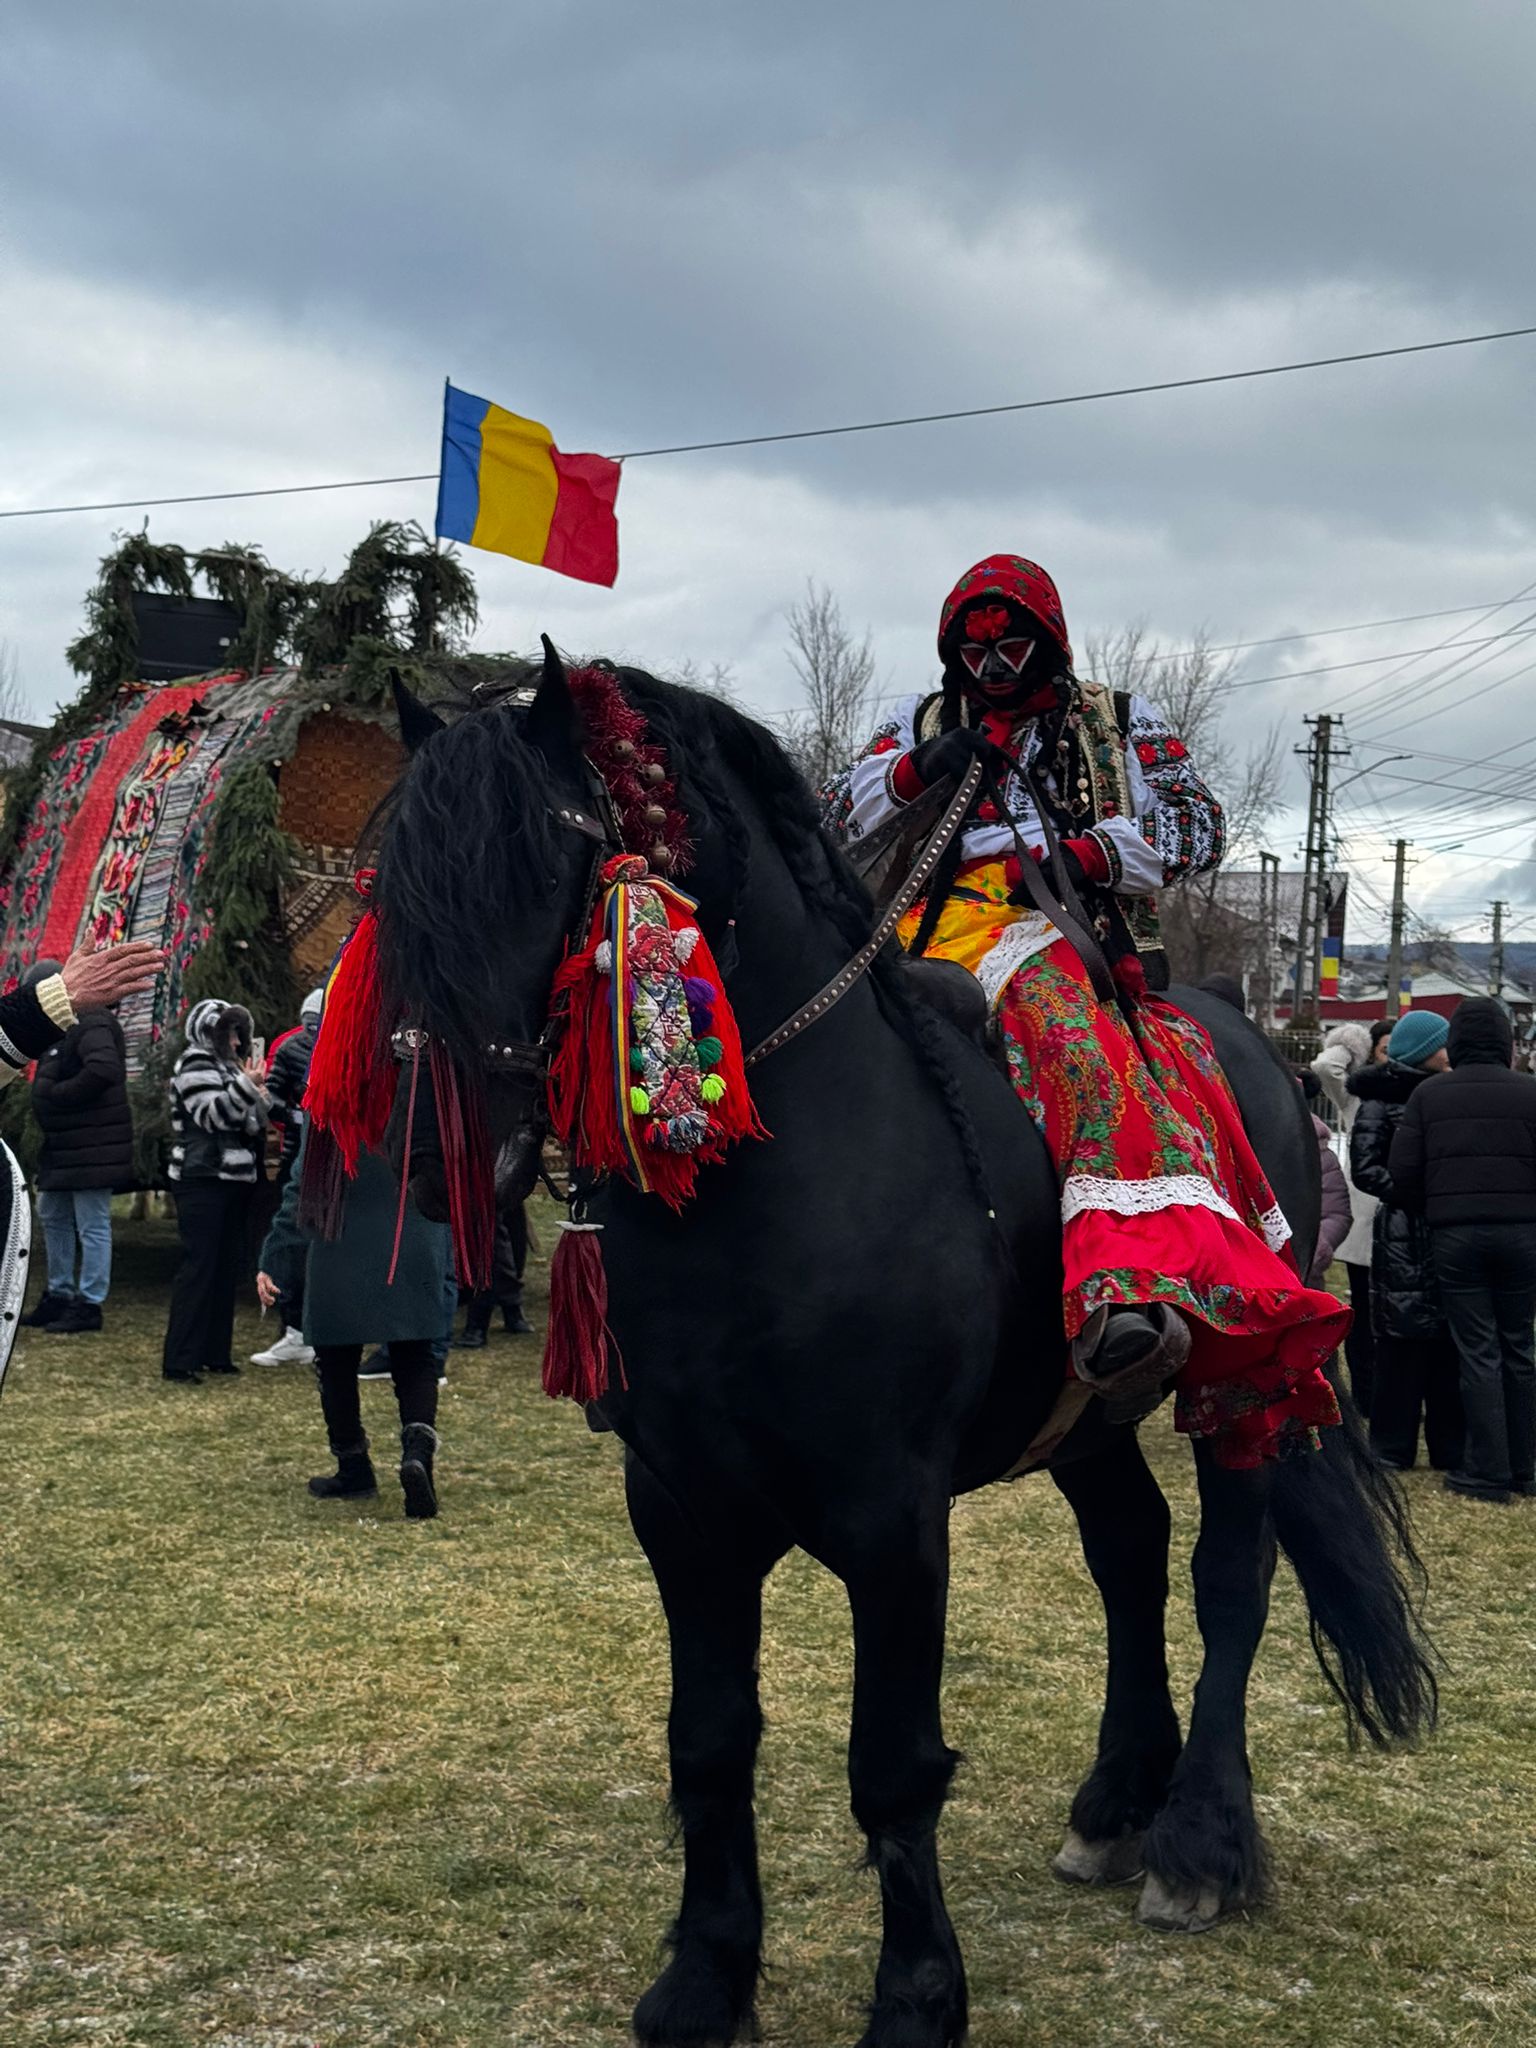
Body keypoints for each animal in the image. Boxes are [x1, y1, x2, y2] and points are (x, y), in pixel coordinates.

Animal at [372, 647, 1434, 2048]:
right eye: (392, 887)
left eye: (546, 856)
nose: (425, 1151)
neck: (769, 1172)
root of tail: (1257, 1042)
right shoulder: (679, 1505)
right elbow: (709, 1738)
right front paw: (704, 1975)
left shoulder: (891, 1513)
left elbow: (891, 1764)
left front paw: (919, 1994)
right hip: (1083, 1412)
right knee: (1130, 1551)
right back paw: (1116, 1802)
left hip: (1244, 1379)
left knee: (1228, 1579)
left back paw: (1200, 1841)